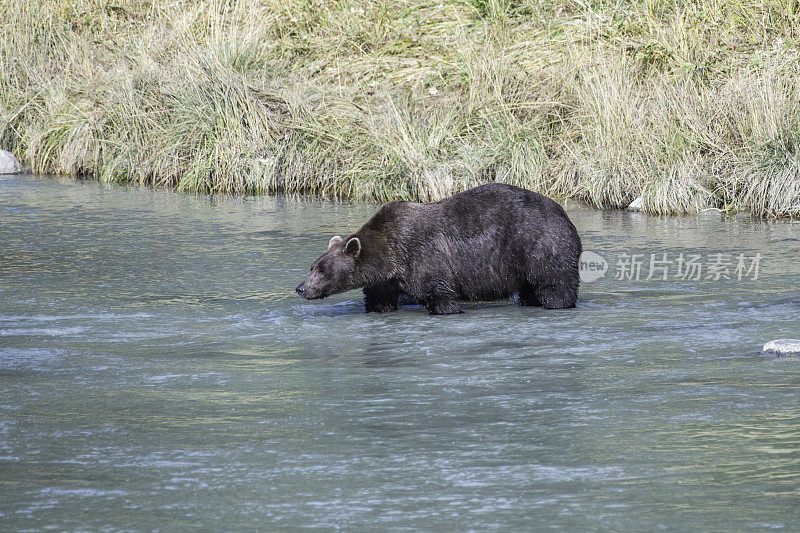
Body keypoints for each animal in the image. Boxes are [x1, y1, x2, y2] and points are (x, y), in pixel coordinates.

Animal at [294, 184, 580, 316]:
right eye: (312, 266)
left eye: (323, 269)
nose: (301, 288)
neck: (390, 257)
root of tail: (563, 214)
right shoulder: (384, 280)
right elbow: (379, 301)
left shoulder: (425, 258)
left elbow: (440, 294)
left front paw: (446, 308)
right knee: (530, 289)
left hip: (540, 245)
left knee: (554, 285)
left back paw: (557, 304)